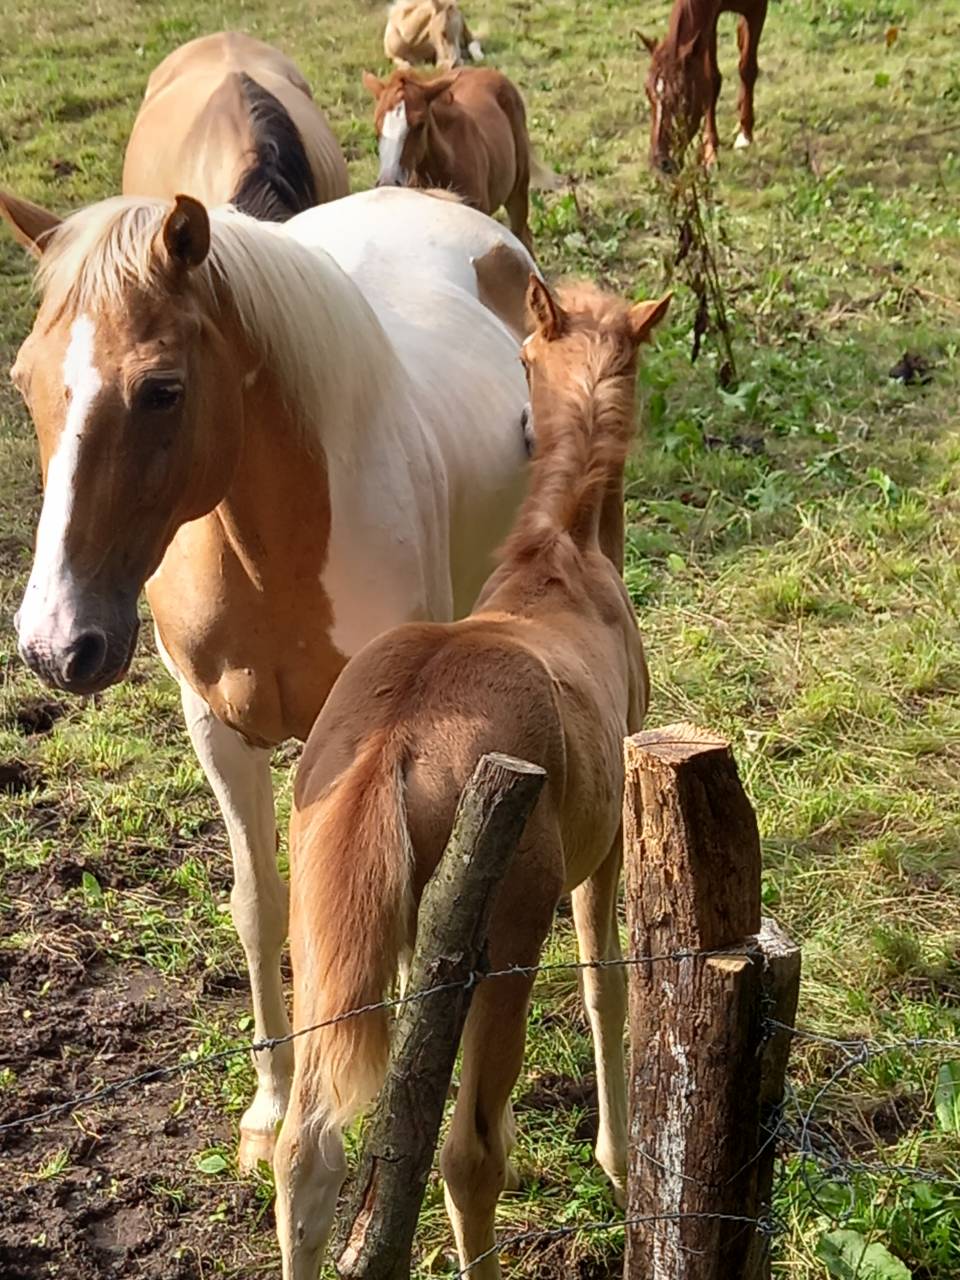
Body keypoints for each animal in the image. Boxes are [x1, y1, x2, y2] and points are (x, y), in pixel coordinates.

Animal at [0, 183, 537, 1170]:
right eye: (24, 381)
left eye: (161, 390)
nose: (56, 644)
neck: (272, 545)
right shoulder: (217, 728)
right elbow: (261, 908)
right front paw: (270, 1109)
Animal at [273, 275, 671, 1279]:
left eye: (523, 356)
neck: (562, 564)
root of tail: (394, 734)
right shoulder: (609, 843)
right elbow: (608, 982)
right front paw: (617, 1162)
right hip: (509, 934)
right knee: (467, 1153)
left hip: (329, 944)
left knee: (306, 1154)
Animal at [640, 0, 768, 172]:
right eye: (648, 92)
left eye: (683, 99)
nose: (661, 162)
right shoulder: (708, 22)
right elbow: (711, 80)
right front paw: (710, 153)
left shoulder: (757, 8)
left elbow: (747, 68)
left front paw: (745, 134)